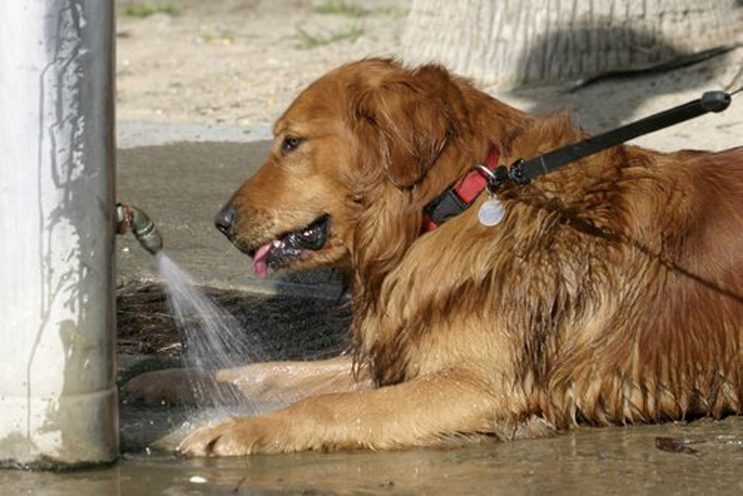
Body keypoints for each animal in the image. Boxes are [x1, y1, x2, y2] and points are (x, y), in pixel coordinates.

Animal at [125, 59, 740, 458]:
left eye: (292, 143)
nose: (221, 221)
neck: (456, 200)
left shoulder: (482, 387)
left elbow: (323, 407)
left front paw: (239, 431)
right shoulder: (405, 352)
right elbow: (274, 372)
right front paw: (179, 381)